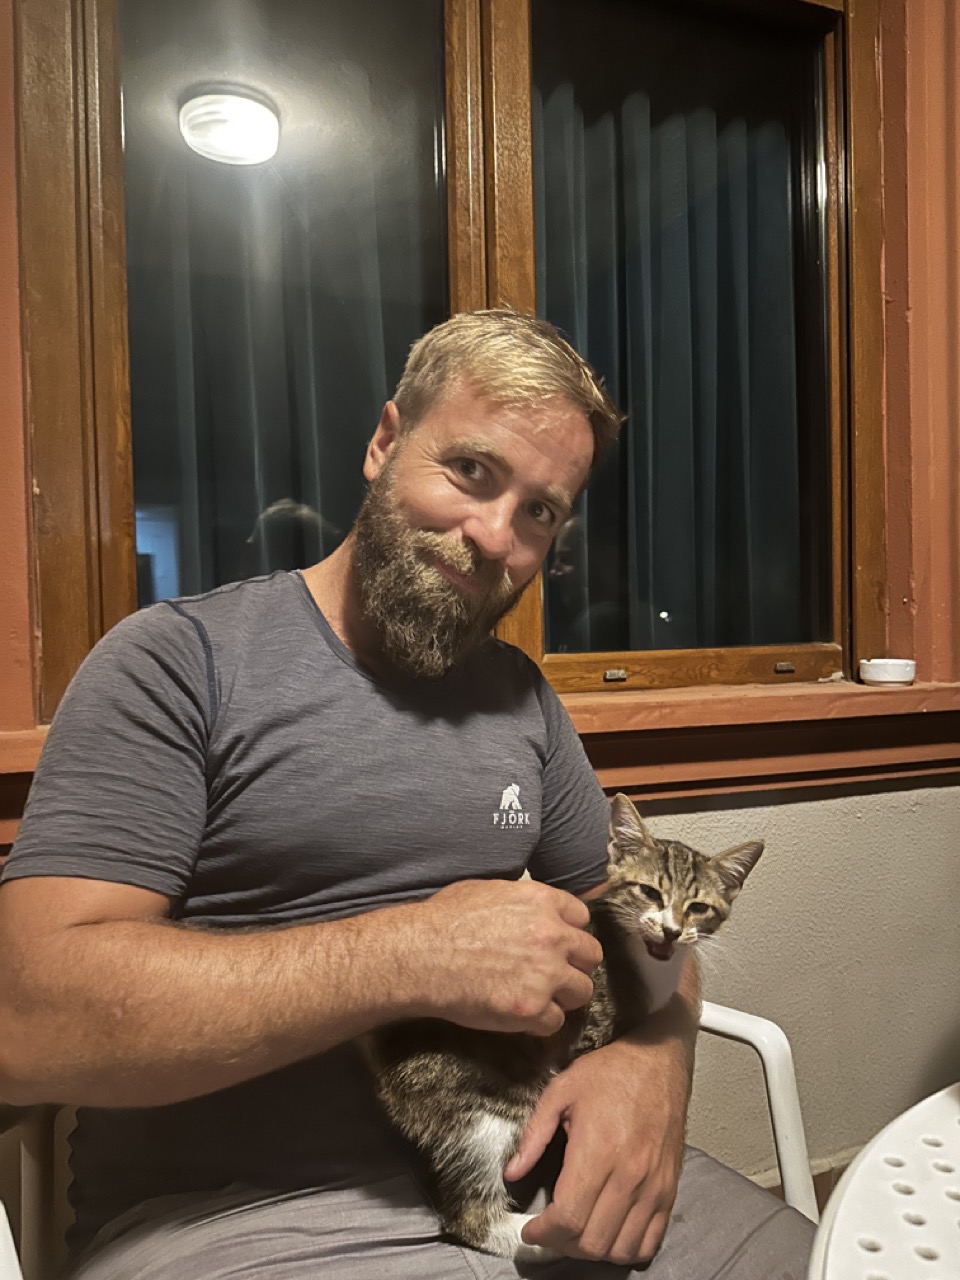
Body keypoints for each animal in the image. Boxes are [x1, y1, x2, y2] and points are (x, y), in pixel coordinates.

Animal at [367, 792, 763, 1263]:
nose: (671, 931)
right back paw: (542, 1240)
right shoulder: (587, 1033)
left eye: (698, 907)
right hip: (491, 1098)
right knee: (469, 1215)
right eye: (649, 892)